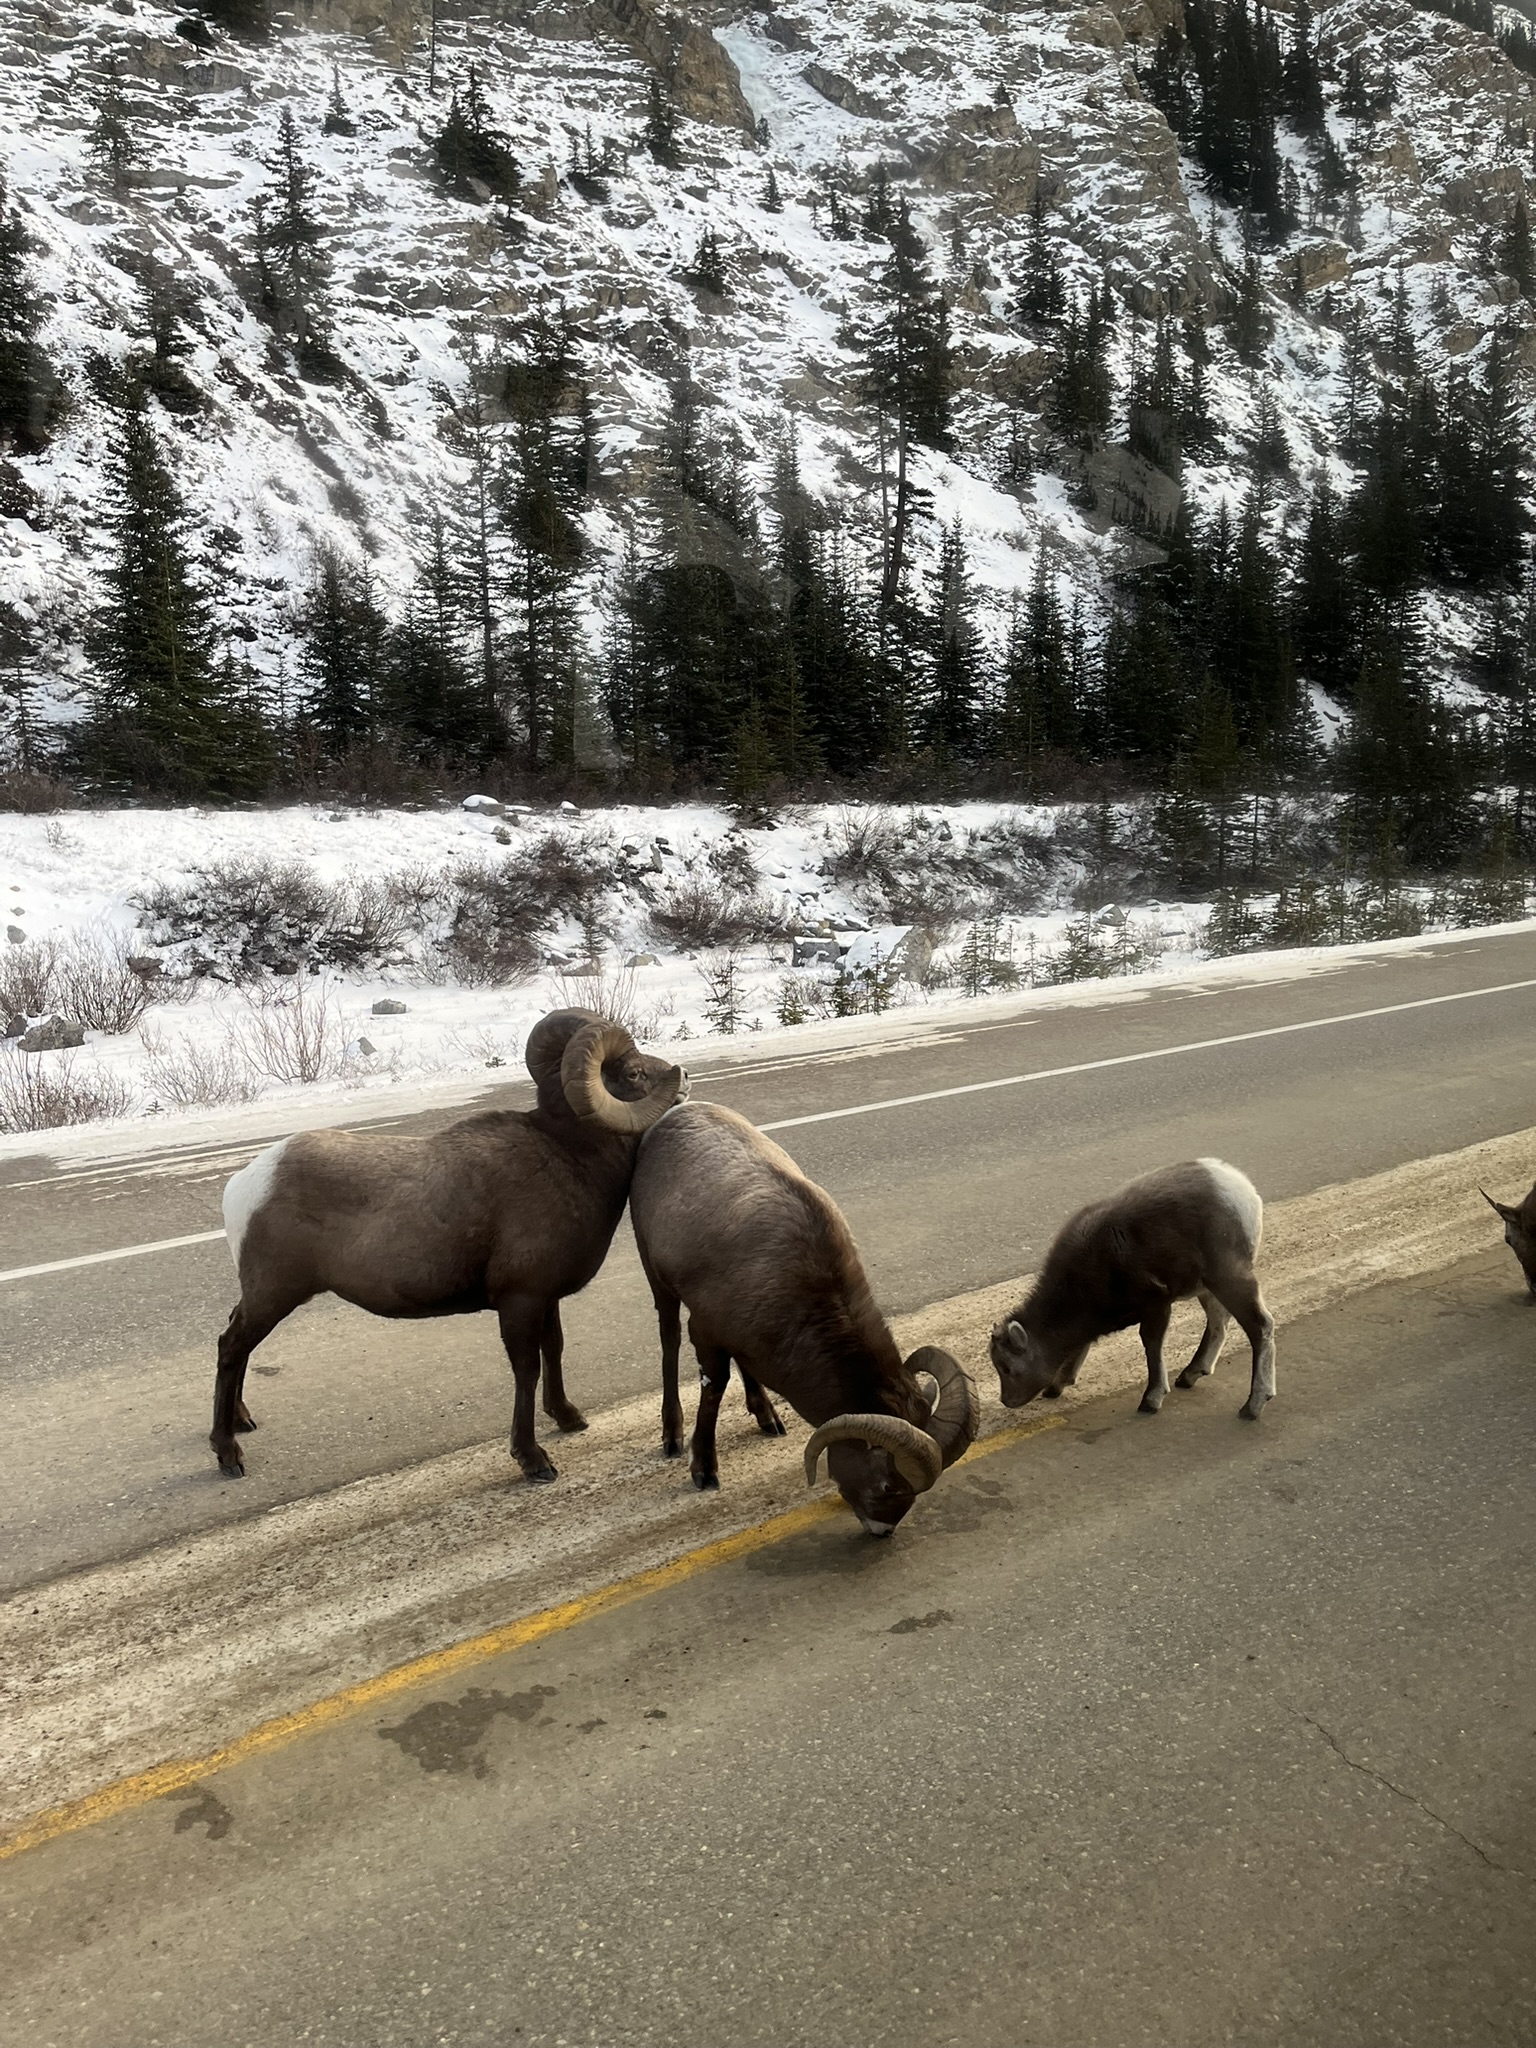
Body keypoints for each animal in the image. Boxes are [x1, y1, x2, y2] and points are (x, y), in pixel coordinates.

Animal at [211, 1008, 684, 1482]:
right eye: (634, 1072)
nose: (682, 1080)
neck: (570, 1156)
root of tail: (245, 1185)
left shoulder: (545, 1298)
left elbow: (554, 1350)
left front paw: (569, 1418)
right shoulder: (521, 1300)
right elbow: (527, 1370)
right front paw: (533, 1460)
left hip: (265, 1297)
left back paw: (242, 1420)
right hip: (274, 1295)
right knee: (231, 1346)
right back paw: (228, 1453)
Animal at [629, 1100, 980, 1536]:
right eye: (887, 1485)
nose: (882, 1530)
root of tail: (678, 1113)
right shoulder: (705, 1333)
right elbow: (712, 1392)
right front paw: (704, 1471)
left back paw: (768, 1418)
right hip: (659, 1283)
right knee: (669, 1339)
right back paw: (672, 1435)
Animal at [989, 1158, 1276, 1422]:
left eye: (1008, 1368)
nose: (1007, 1400)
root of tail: (1242, 1189)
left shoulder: (1156, 1305)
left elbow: (1151, 1346)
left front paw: (1151, 1400)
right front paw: (1056, 1387)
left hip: (1228, 1280)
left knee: (1260, 1326)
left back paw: (1252, 1406)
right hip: (1208, 1287)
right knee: (1219, 1321)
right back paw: (1190, 1376)